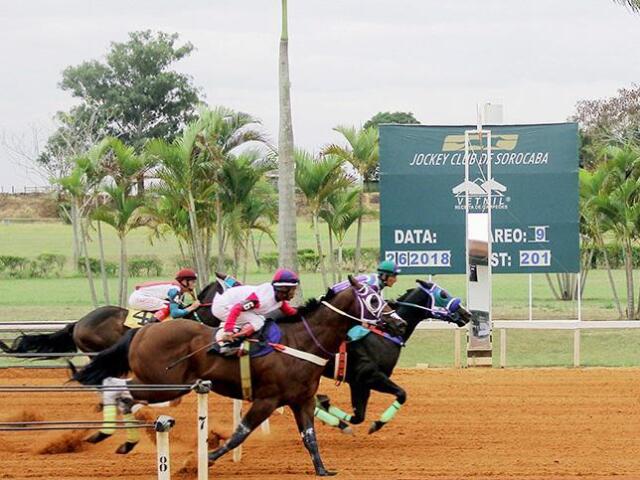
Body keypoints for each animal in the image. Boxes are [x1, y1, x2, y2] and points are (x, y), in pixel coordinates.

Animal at [71, 278, 404, 476]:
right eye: (374, 300)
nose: (398, 323)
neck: (303, 342)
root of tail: (144, 330)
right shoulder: (268, 399)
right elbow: (239, 434)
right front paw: (205, 458)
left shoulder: (302, 400)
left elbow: (310, 437)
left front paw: (323, 469)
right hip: (163, 383)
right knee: (118, 389)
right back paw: (106, 433)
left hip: (163, 384)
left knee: (122, 394)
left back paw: (119, 438)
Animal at [316, 278, 470, 436]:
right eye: (443, 294)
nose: (467, 314)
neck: (383, 334)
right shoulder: (370, 376)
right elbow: (402, 394)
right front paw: (376, 424)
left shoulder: (358, 383)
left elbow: (358, 417)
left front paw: (325, 405)